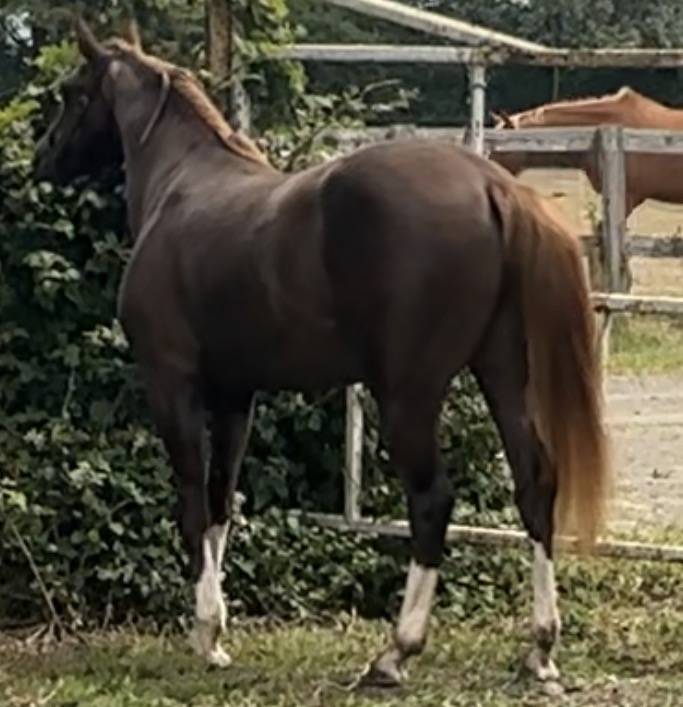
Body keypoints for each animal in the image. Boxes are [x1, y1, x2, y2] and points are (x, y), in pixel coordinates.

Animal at [34, 18, 609, 688]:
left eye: (72, 93)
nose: (43, 159)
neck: (181, 188)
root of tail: (493, 188)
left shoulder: (172, 384)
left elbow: (190, 499)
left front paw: (205, 627)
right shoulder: (235, 395)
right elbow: (221, 499)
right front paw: (215, 635)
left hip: (409, 393)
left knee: (432, 500)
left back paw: (395, 653)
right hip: (502, 372)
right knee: (535, 481)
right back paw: (540, 649)